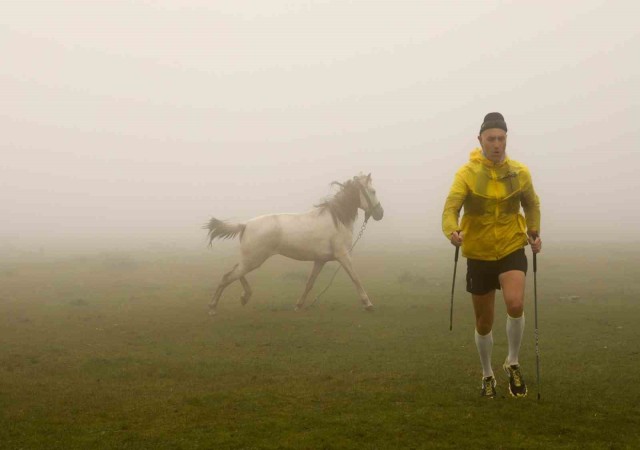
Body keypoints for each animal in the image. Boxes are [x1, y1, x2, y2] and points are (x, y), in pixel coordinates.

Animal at [206, 174, 384, 314]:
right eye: (373, 191)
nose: (380, 214)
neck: (337, 220)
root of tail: (245, 225)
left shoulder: (320, 260)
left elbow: (309, 283)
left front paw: (298, 305)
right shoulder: (343, 256)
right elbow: (355, 278)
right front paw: (368, 304)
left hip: (251, 260)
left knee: (235, 271)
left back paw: (245, 297)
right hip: (253, 260)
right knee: (227, 277)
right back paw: (213, 308)